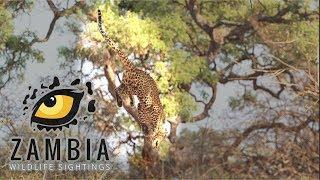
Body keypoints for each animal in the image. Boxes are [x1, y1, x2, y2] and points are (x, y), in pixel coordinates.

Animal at [97, 9, 166, 148]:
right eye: (162, 139)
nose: (158, 145)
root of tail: (134, 68)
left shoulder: (142, 110)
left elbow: (145, 122)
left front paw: (147, 132)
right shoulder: (149, 110)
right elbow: (151, 125)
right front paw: (151, 133)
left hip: (128, 83)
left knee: (118, 88)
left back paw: (122, 101)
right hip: (143, 93)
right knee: (126, 90)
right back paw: (129, 100)